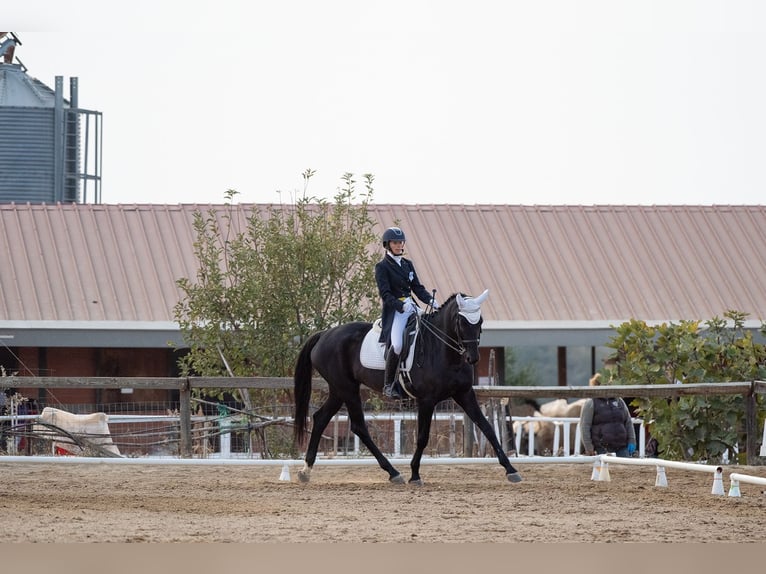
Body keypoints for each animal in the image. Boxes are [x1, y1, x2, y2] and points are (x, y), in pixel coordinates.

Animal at [292, 288, 520, 486]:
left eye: (479, 321)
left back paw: (305, 471)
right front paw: (415, 474)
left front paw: (511, 470)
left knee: (321, 418)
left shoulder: (465, 394)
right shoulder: (426, 400)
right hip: (347, 389)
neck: (444, 352)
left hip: (339, 389)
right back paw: (393, 472)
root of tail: (324, 334)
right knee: (358, 427)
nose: (473, 358)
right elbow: (422, 437)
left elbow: (488, 428)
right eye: (461, 321)